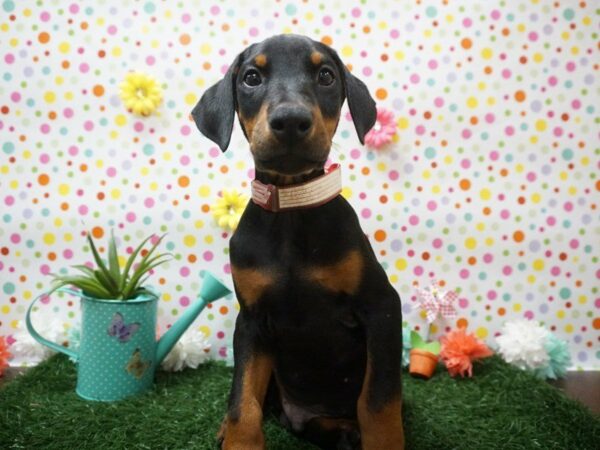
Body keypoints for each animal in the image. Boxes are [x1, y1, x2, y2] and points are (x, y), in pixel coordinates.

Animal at [192, 33, 406, 448]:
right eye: (251, 77)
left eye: (326, 76)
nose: (290, 121)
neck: (291, 207)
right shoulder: (251, 321)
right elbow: (242, 401)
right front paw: (238, 438)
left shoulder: (382, 307)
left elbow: (377, 400)